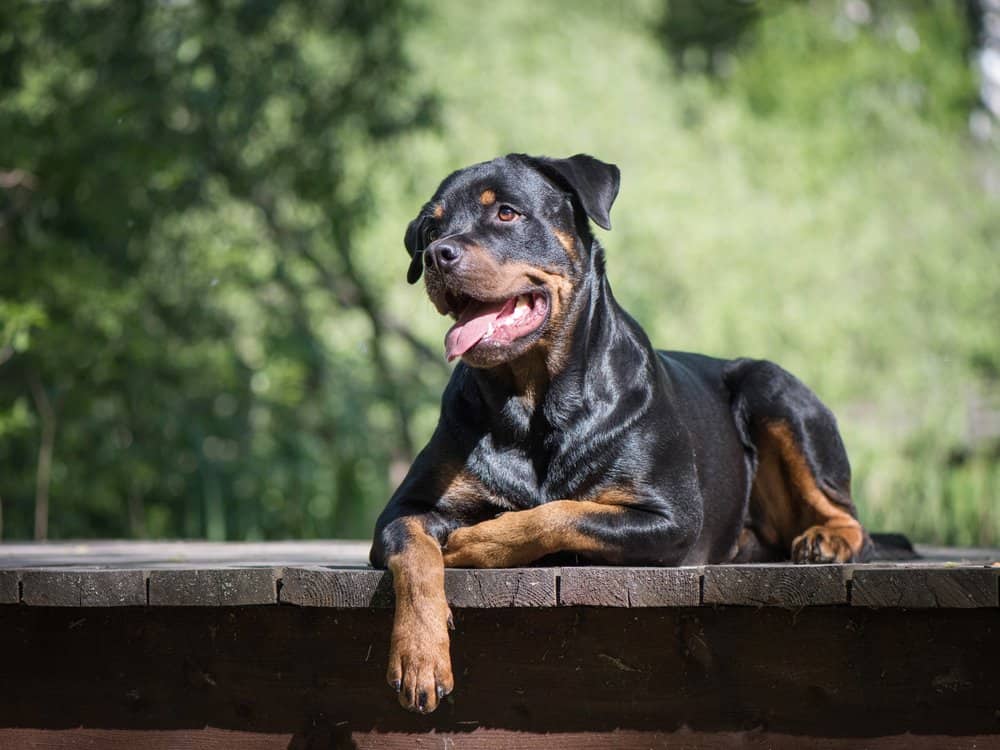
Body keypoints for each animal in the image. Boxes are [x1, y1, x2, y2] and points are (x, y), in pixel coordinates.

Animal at [372, 154, 872, 716]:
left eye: (506, 213)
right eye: (431, 228)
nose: (439, 254)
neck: (534, 403)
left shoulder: (670, 517)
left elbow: (559, 513)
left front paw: (475, 540)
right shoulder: (403, 510)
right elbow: (416, 558)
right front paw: (420, 657)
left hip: (772, 387)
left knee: (848, 512)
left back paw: (829, 539)